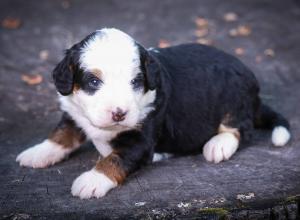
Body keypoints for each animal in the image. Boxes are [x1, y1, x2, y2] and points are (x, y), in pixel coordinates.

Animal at [16, 27, 290, 199]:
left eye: (136, 81)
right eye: (93, 81)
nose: (119, 114)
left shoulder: (140, 139)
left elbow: (114, 159)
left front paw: (92, 181)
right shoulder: (74, 114)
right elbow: (62, 134)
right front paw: (37, 153)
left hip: (234, 99)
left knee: (240, 128)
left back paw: (218, 145)